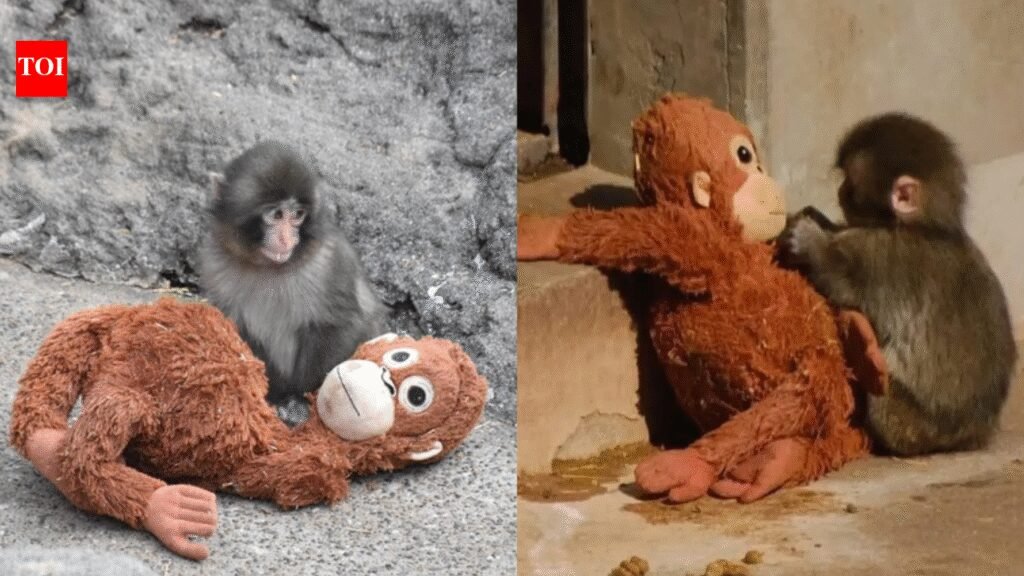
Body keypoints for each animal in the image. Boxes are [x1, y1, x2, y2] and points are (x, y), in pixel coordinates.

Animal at [198, 141, 386, 424]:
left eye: (297, 215)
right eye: (276, 215)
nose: (287, 239)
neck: (268, 267)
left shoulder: (329, 262)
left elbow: (341, 324)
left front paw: (300, 399)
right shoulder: (214, 264)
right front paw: (273, 396)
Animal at [780, 112, 1018, 456]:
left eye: (850, 183)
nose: (839, 191)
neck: (925, 227)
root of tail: (971, 436)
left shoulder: (879, 256)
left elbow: (840, 280)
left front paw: (810, 241)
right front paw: (819, 219)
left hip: (909, 425)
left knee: (882, 394)